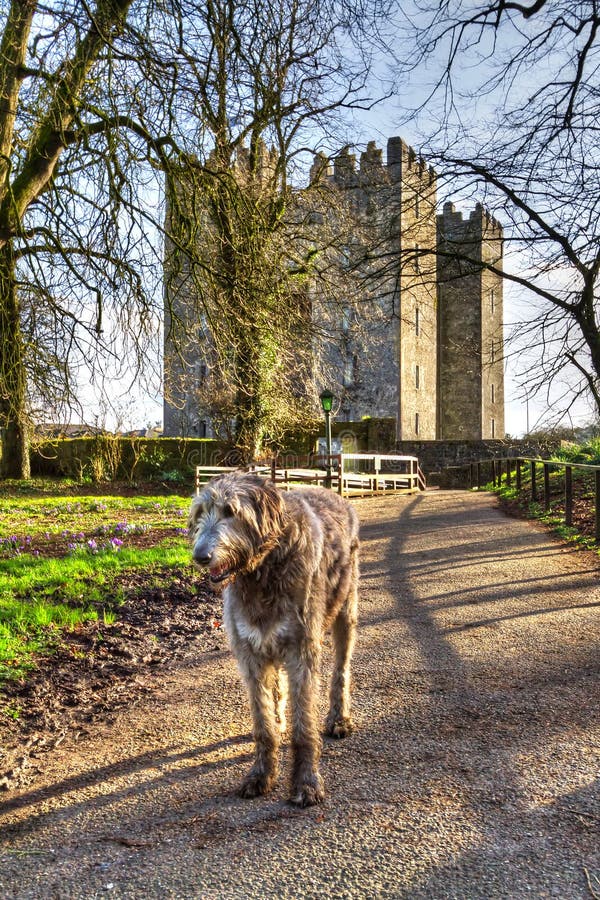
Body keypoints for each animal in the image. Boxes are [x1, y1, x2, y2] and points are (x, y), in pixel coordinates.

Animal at [189, 472, 356, 808]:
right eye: (201, 512)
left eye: (231, 511)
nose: (201, 556)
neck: (262, 570)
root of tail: (333, 493)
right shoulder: (249, 652)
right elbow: (263, 723)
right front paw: (261, 774)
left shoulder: (301, 650)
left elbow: (304, 727)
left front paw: (306, 782)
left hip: (345, 610)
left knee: (341, 670)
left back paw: (339, 718)